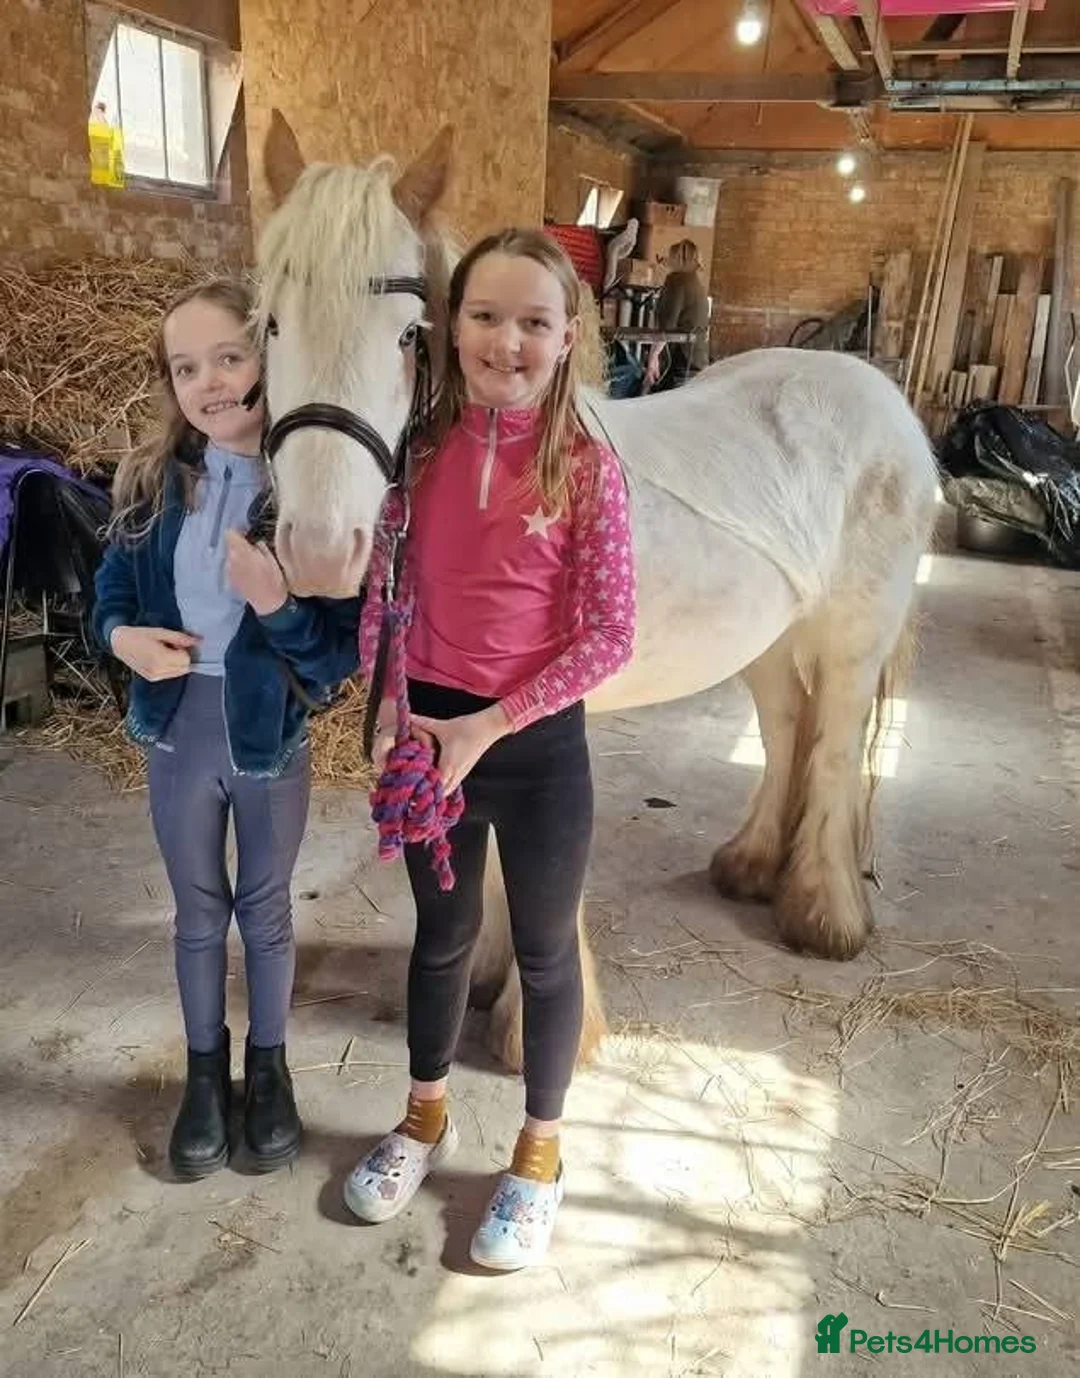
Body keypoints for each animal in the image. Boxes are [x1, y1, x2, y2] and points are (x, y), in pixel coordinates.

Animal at [255, 111, 938, 1072]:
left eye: (408, 335)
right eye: (273, 324)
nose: (319, 548)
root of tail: (882, 395)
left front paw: (536, 1027)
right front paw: (486, 975)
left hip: (853, 636)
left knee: (836, 748)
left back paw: (824, 916)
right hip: (767, 641)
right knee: (784, 734)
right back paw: (753, 865)